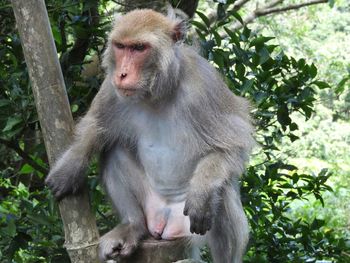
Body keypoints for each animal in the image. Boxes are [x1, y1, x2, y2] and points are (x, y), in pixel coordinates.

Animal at [45, 8, 254, 263]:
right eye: (120, 46)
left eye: (139, 48)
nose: (122, 74)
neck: (157, 92)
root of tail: (165, 224)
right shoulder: (111, 89)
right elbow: (97, 126)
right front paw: (70, 166)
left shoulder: (205, 87)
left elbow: (231, 145)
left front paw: (202, 192)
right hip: (150, 208)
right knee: (112, 150)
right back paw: (132, 227)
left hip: (189, 227)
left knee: (221, 189)